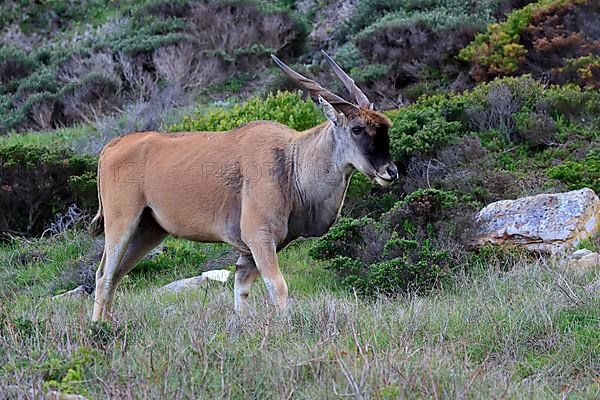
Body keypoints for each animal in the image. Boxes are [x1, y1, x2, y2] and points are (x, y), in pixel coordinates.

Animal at [89, 51, 398, 322]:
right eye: (357, 129)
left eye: (386, 129)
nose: (390, 172)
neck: (291, 161)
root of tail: (111, 146)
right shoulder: (259, 237)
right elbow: (277, 286)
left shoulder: (250, 251)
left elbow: (241, 290)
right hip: (122, 222)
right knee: (104, 275)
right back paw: (97, 329)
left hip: (149, 229)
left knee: (115, 275)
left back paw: (107, 324)